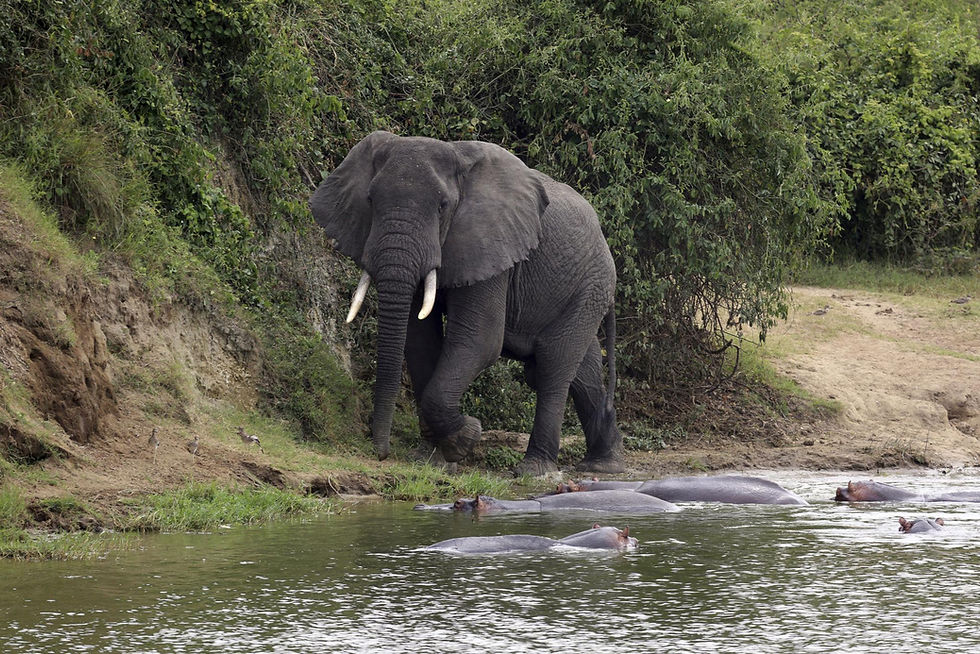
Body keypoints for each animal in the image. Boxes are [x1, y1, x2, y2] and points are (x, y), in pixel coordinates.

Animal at [311, 131, 623, 475]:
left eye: (443, 206)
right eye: (369, 201)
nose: (381, 453)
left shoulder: (491, 244)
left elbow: (480, 340)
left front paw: (466, 437)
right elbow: (420, 341)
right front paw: (434, 458)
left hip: (591, 285)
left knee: (553, 366)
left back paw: (535, 469)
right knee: (583, 373)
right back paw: (603, 466)